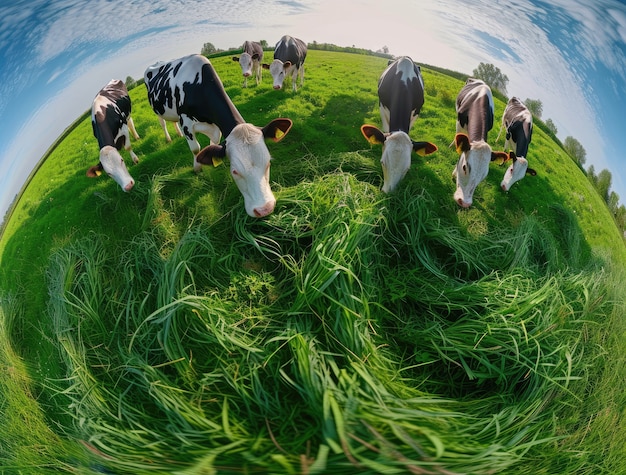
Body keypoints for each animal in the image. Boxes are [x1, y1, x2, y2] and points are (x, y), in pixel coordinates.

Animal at [144, 54, 292, 218]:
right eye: (234, 171)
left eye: (268, 163)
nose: (265, 209)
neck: (198, 85)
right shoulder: (186, 122)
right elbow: (196, 149)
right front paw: (197, 169)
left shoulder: (215, 129)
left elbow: (211, 146)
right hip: (157, 109)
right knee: (163, 123)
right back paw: (169, 138)